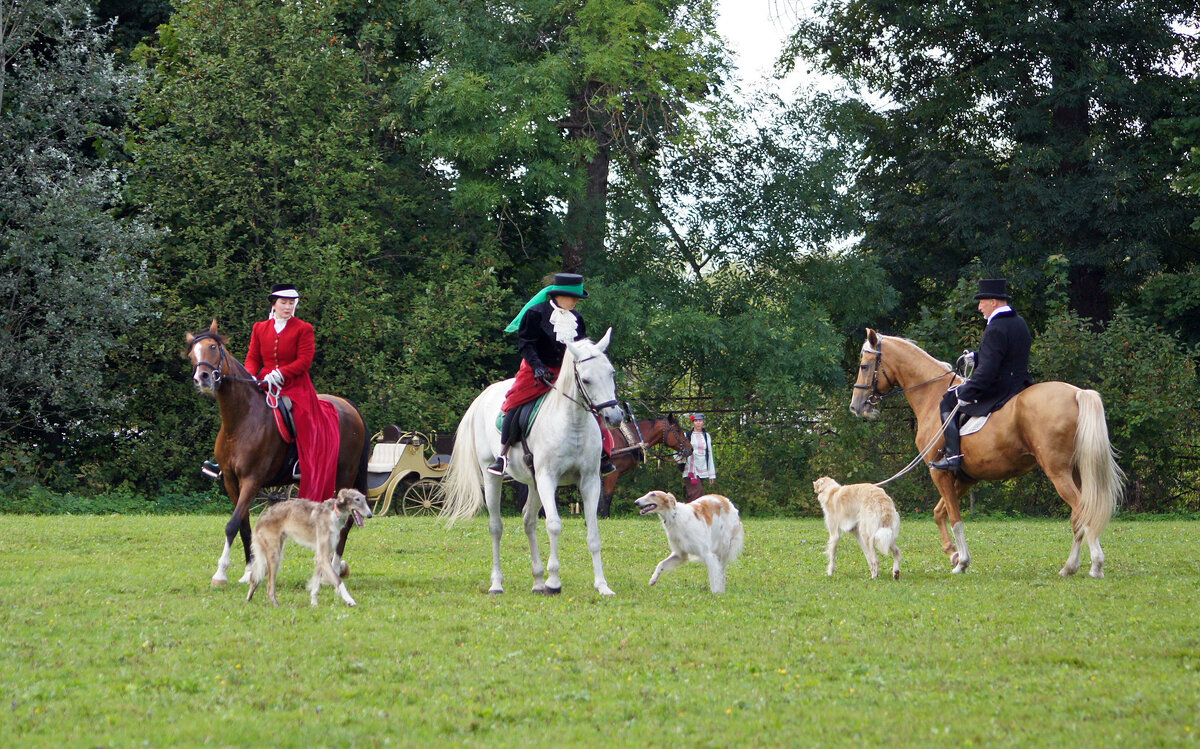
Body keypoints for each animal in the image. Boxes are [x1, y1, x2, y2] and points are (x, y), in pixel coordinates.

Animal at [182, 319, 367, 588]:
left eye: (214, 347)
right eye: (192, 355)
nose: (202, 378)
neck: (240, 419)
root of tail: (349, 406)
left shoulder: (252, 481)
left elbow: (231, 525)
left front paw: (220, 573)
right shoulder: (232, 482)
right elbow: (244, 526)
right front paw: (248, 572)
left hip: (344, 476)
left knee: (346, 522)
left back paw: (332, 569)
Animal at [441, 328, 628, 597]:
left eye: (611, 373)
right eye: (587, 380)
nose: (614, 416)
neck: (573, 423)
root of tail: (484, 396)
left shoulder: (590, 480)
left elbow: (593, 533)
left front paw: (602, 585)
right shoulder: (548, 478)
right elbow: (554, 525)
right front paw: (554, 582)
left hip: (533, 483)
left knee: (528, 521)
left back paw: (538, 580)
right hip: (493, 476)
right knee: (496, 526)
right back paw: (498, 583)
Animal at [849, 328, 1118, 578]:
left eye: (864, 365)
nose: (856, 405)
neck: (932, 394)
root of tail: (1076, 393)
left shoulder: (940, 473)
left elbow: (955, 517)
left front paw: (962, 562)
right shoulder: (966, 478)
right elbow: (939, 513)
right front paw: (954, 554)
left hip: (1058, 472)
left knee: (1082, 510)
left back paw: (1094, 565)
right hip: (1077, 472)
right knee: (1080, 516)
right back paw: (1071, 567)